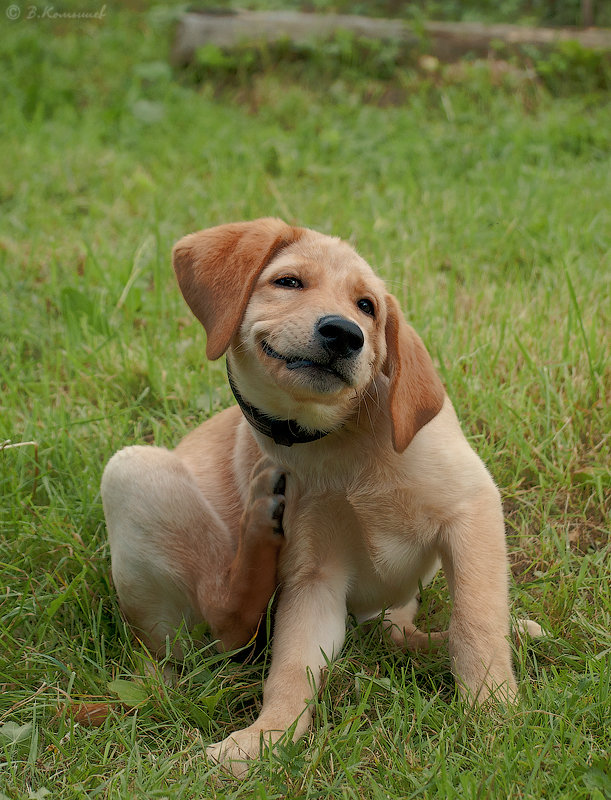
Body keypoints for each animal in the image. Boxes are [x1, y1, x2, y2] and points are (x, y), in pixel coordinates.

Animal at [101, 217, 536, 776]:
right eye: (288, 282)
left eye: (367, 306)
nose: (345, 333)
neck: (337, 438)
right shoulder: (315, 578)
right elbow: (290, 669)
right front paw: (264, 738)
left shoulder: (472, 511)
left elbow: (477, 623)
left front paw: (493, 715)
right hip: (132, 471)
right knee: (227, 625)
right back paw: (259, 520)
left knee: (400, 634)